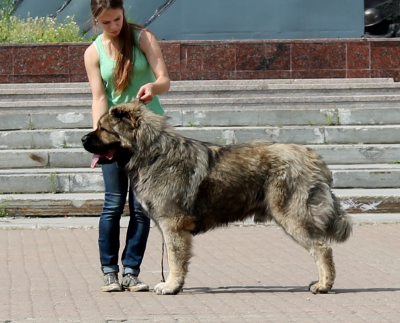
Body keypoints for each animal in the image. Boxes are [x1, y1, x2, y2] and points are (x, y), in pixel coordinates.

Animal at [80, 100, 350, 298]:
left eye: (103, 129)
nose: (82, 139)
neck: (151, 154)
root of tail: (312, 157)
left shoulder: (173, 224)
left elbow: (174, 259)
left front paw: (170, 286)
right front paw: (175, 285)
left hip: (292, 216)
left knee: (322, 248)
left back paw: (323, 285)